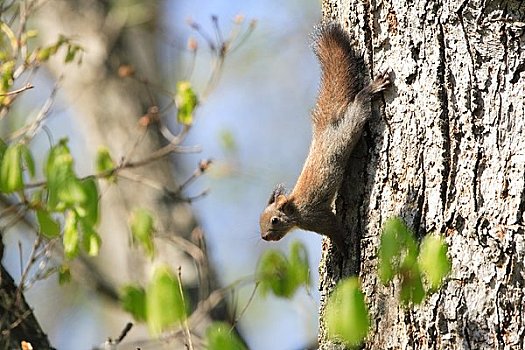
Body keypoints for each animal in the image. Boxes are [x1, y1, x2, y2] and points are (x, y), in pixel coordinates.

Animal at [260, 23, 390, 250]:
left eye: (274, 220)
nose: (264, 237)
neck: (295, 210)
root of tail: (324, 129)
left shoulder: (316, 217)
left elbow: (335, 230)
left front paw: (344, 248)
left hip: (348, 128)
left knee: (359, 107)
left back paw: (371, 90)